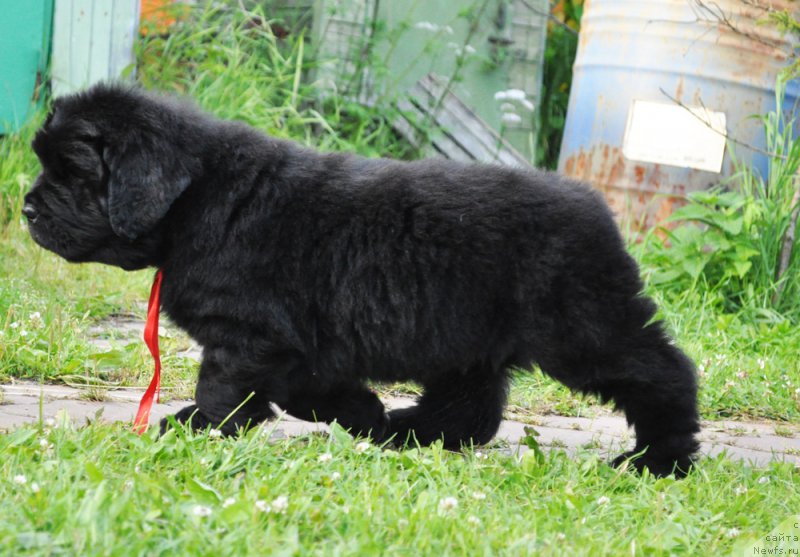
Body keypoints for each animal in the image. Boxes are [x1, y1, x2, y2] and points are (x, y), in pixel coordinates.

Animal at [26, 82, 700, 474]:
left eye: (73, 171)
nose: (28, 210)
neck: (199, 200)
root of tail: (600, 210)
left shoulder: (246, 332)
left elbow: (224, 388)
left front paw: (193, 428)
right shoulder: (294, 342)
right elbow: (305, 387)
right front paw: (363, 411)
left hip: (582, 325)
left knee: (662, 371)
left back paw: (659, 458)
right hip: (467, 338)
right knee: (471, 408)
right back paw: (404, 432)